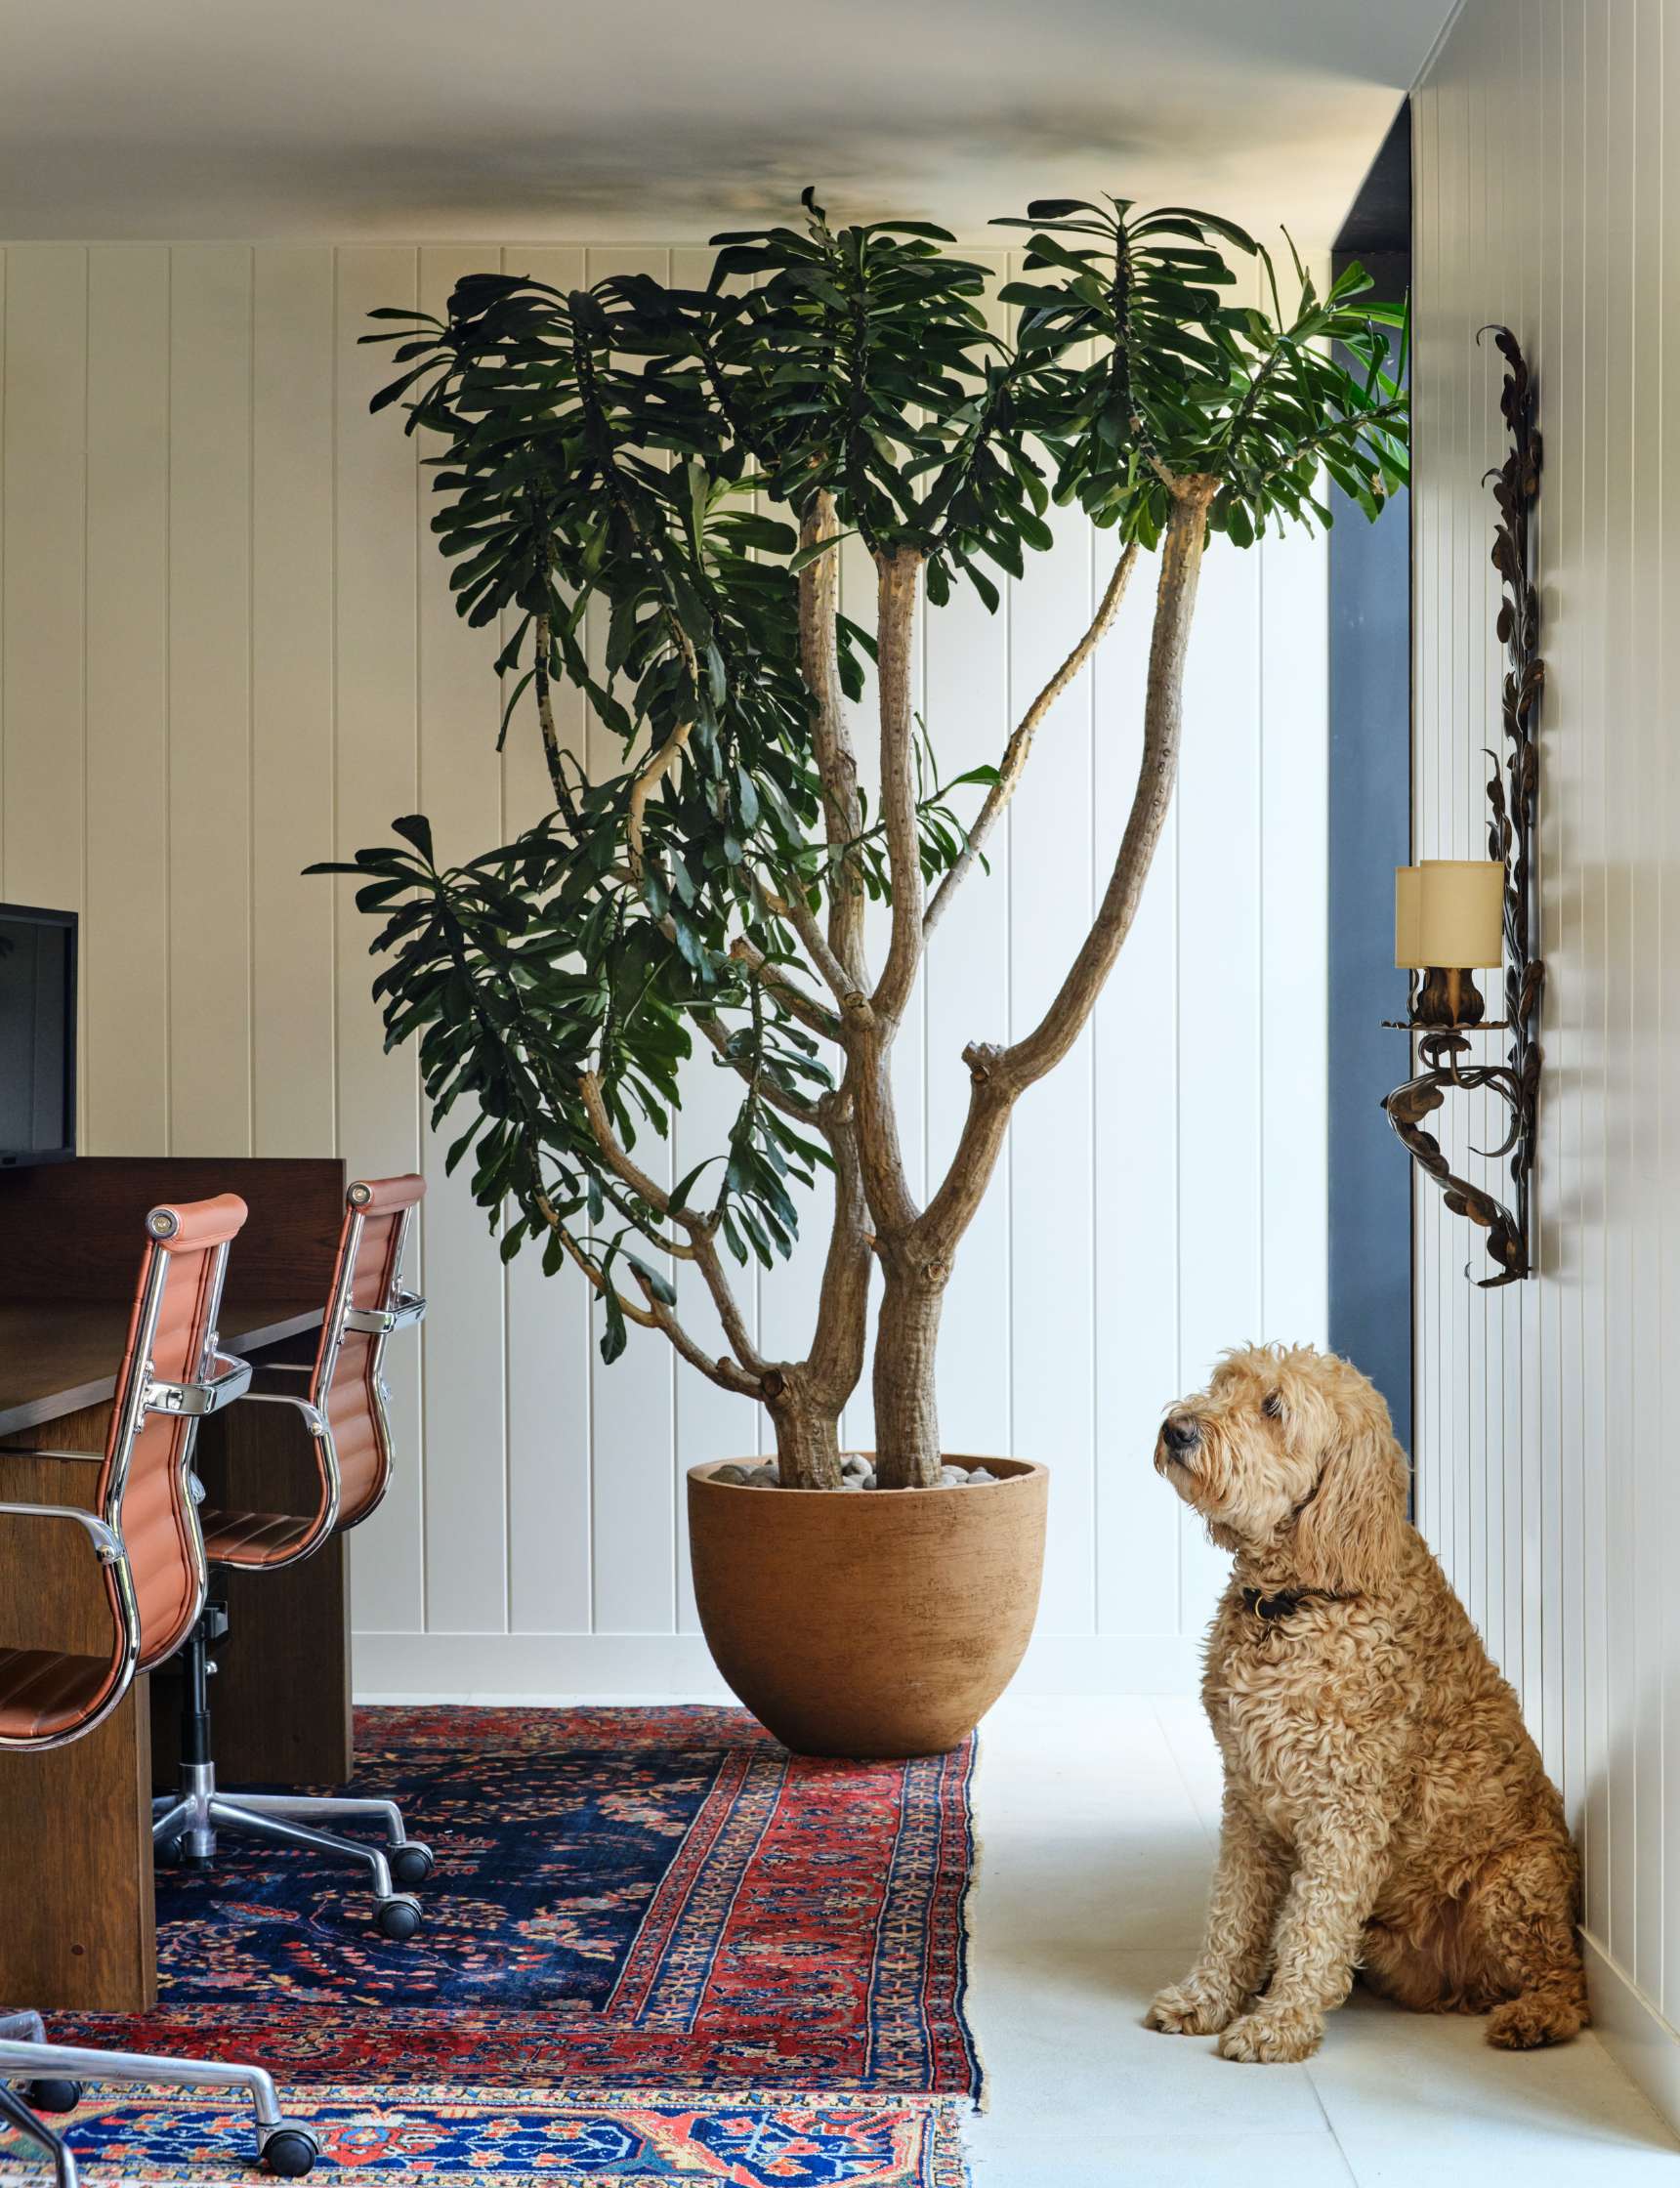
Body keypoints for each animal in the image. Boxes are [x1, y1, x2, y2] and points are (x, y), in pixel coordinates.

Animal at [1137, 1329, 1592, 2065]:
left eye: (1273, 1407)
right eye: (1226, 1382)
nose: (1178, 1429)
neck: (1297, 1599)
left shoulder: (1346, 1810)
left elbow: (1314, 1923)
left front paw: (1278, 2023)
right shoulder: (1248, 1799)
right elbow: (1233, 1913)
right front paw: (1207, 1996)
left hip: (1514, 1885)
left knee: (1566, 1976)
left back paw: (1536, 2017)